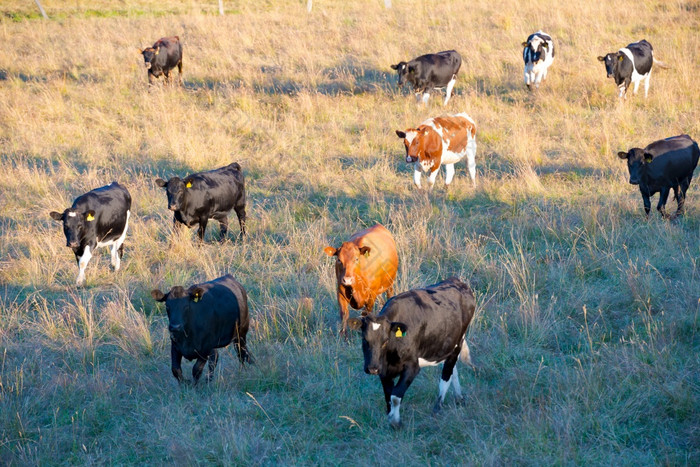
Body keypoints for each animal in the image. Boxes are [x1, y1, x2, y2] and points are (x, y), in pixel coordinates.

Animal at [348, 276, 476, 430]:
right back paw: (459, 398)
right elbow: (388, 395)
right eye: (364, 339)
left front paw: (395, 422)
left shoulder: (412, 367)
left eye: (385, 341)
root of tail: (456, 281)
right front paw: (389, 417)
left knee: (447, 373)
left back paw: (437, 407)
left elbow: (395, 395)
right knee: (452, 370)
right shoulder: (384, 369)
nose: (372, 368)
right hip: (446, 345)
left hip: (458, 341)